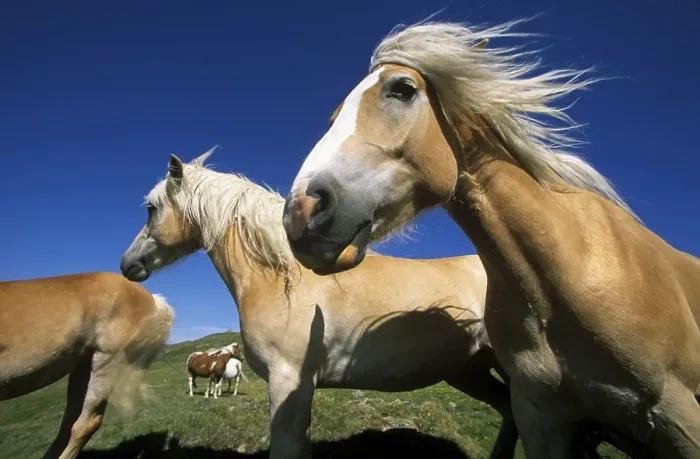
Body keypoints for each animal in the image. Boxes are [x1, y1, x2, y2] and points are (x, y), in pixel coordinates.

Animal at [119, 148, 522, 459]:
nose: (128, 264)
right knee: (510, 411)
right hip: (469, 370)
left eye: (151, 208)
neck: (283, 278)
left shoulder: (288, 385)